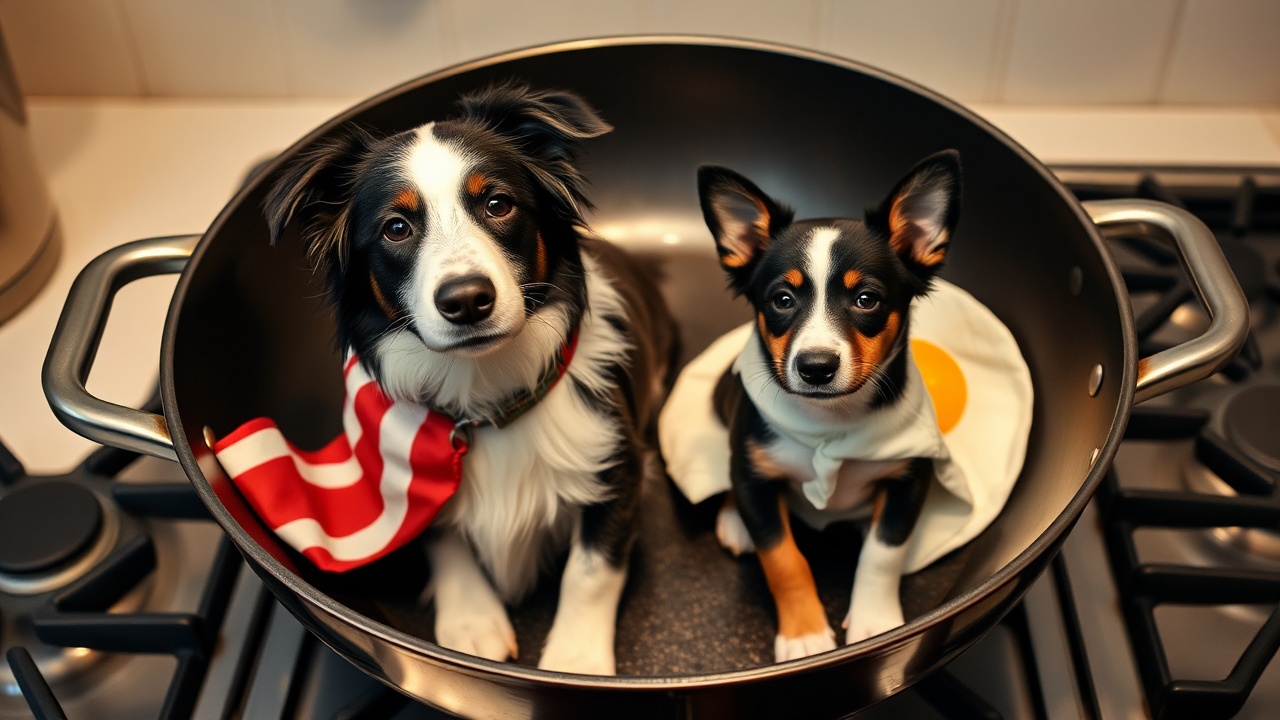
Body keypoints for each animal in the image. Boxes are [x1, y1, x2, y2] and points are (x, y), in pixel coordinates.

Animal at [262, 83, 680, 671]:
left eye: (497, 204)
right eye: (396, 227)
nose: (466, 300)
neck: (484, 401)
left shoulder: (615, 468)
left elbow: (591, 571)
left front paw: (574, 660)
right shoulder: (404, 480)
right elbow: (440, 534)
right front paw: (471, 621)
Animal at [701, 152, 962, 661]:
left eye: (867, 299)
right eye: (782, 299)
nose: (816, 367)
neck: (830, 424)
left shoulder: (910, 478)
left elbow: (883, 554)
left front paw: (875, 622)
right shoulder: (755, 474)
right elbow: (783, 559)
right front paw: (804, 635)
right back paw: (733, 520)